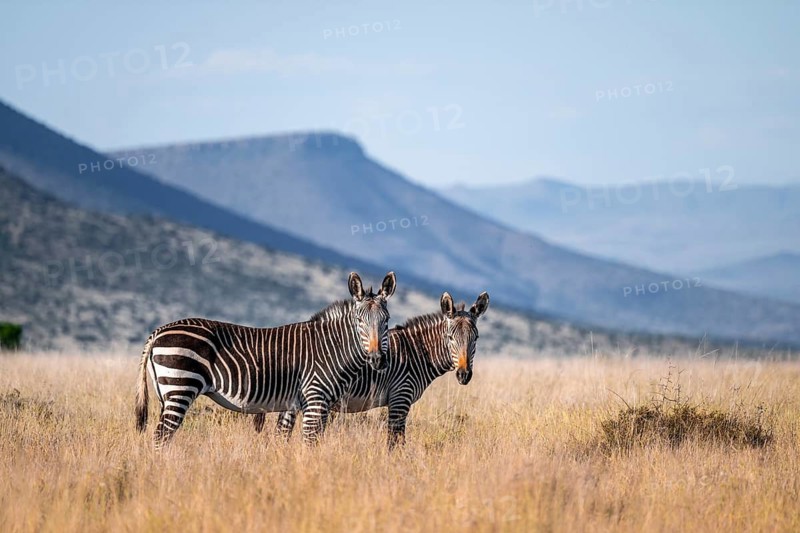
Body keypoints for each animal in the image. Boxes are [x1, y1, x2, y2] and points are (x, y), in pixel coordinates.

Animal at [134, 271, 397, 448]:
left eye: (386, 321)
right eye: (359, 321)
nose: (377, 359)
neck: (332, 348)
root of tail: (159, 331)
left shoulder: (303, 404)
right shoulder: (314, 400)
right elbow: (309, 445)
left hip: (166, 393)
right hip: (181, 387)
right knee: (161, 436)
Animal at [253, 290, 489, 448]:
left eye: (476, 338)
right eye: (450, 338)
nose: (464, 375)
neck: (417, 352)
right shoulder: (400, 398)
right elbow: (395, 443)